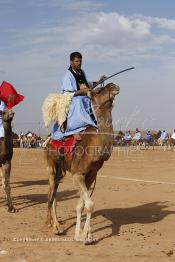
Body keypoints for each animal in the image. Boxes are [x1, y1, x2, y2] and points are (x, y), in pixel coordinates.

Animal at [43, 83, 119, 244]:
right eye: (99, 90)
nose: (113, 86)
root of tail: (48, 139)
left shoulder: (91, 175)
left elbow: (80, 205)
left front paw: (81, 234)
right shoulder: (77, 174)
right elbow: (89, 204)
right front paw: (85, 236)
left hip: (61, 171)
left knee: (52, 191)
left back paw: (51, 222)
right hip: (51, 166)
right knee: (52, 192)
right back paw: (56, 227)